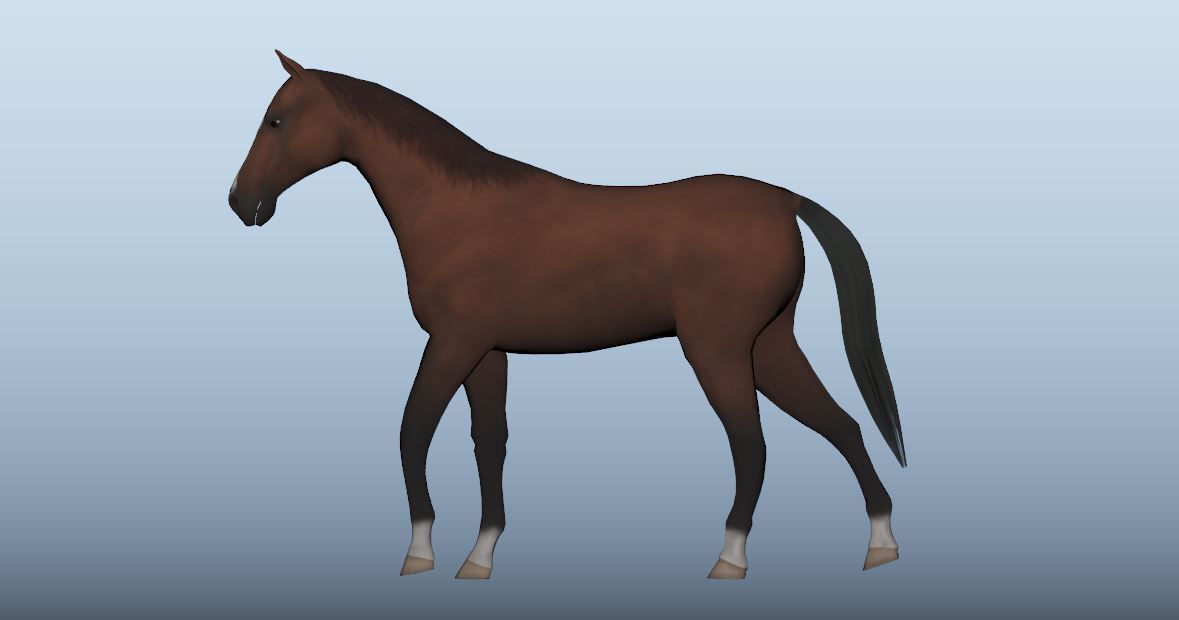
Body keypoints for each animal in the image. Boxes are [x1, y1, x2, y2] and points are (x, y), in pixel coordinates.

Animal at [228, 50, 906, 580]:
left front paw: (420, 551)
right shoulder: (486, 351)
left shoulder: (452, 342)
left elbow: (412, 429)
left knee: (752, 444)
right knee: (842, 425)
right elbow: (489, 442)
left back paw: (730, 558)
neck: (452, 209)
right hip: (768, 346)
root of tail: (787, 202)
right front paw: (480, 555)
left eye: (277, 119)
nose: (241, 203)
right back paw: (880, 544)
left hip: (717, 350)